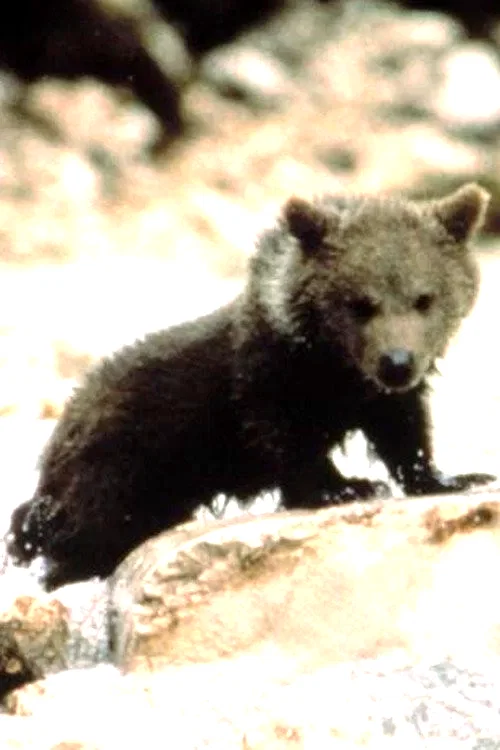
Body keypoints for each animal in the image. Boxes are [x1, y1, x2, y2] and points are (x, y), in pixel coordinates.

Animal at [7, 182, 495, 590]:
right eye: (360, 303)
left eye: (424, 298)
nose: (397, 362)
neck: (330, 364)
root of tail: (54, 445)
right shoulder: (268, 378)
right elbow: (286, 440)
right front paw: (346, 486)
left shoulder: (377, 396)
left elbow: (403, 431)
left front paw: (450, 476)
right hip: (115, 472)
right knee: (78, 536)